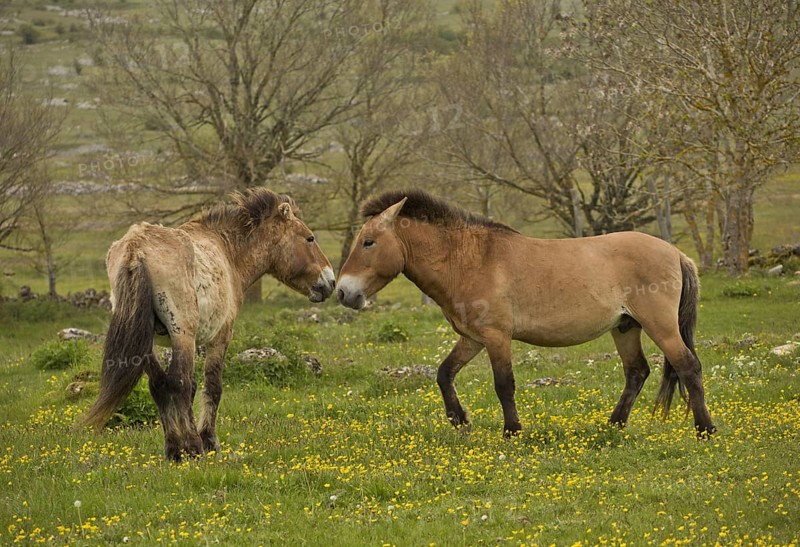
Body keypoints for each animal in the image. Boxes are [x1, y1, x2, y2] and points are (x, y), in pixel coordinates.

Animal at [82, 188, 335, 461]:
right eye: (309, 238)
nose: (330, 281)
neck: (227, 251)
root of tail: (135, 249)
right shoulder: (220, 336)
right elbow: (211, 386)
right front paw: (208, 441)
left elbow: (191, 387)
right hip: (182, 334)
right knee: (177, 383)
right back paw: (191, 446)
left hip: (148, 343)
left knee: (159, 385)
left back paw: (173, 448)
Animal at [336, 189, 715, 438]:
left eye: (368, 242)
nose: (343, 291)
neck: (470, 260)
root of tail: (676, 253)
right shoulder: (473, 338)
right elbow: (444, 374)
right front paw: (460, 420)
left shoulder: (496, 337)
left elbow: (504, 384)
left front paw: (512, 431)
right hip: (626, 327)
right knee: (637, 372)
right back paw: (614, 425)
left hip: (660, 325)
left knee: (687, 366)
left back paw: (705, 429)